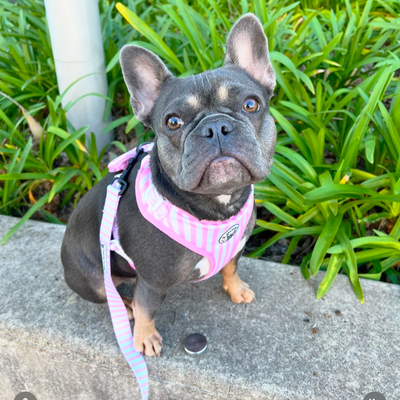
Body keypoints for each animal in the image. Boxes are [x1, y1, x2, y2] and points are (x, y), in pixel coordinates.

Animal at [61, 13, 276, 356]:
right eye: (173, 122)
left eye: (251, 105)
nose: (215, 126)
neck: (217, 205)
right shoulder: (151, 280)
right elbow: (147, 307)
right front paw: (144, 338)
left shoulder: (237, 247)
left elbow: (231, 267)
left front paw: (236, 289)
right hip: (93, 277)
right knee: (113, 295)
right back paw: (126, 309)